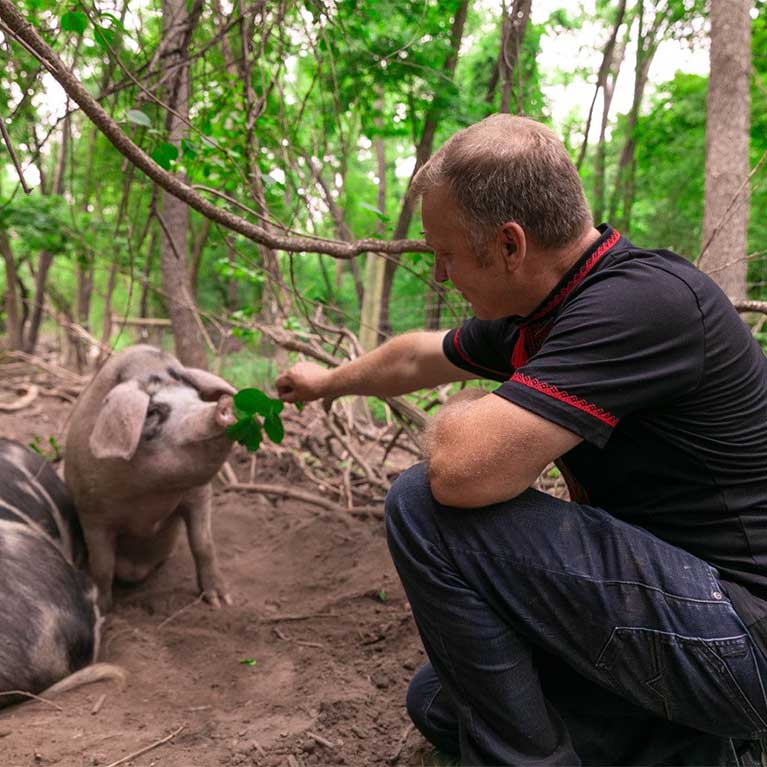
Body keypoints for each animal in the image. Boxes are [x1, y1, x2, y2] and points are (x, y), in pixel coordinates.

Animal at [64, 345, 237, 613]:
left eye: (197, 398)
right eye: (154, 411)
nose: (224, 405)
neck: (151, 496)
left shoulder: (199, 492)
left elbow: (204, 544)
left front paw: (221, 602)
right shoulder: (91, 510)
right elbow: (102, 565)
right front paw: (102, 610)